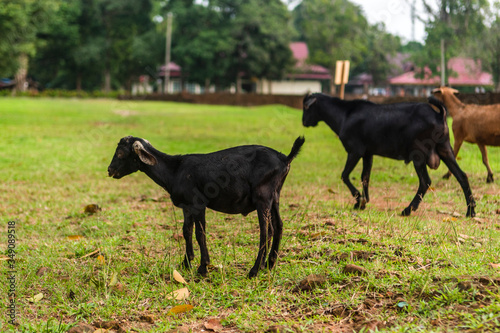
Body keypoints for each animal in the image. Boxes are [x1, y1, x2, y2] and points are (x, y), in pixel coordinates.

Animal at [108, 135, 304, 278]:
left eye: (120, 153)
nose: (110, 170)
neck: (174, 170)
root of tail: (284, 159)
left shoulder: (198, 203)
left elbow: (199, 233)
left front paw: (203, 267)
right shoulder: (186, 206)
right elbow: (186, 231)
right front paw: (186, 263)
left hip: (262, 196)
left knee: (265, 231)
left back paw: (254, 270)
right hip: (275, 196)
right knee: (278, 226)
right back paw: (269, 264)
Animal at [302, 92, 474, 217]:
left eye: (306, 107)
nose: (304, 122)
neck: (344, 115)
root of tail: (439, 115)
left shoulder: (355, 150)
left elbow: (344, 175)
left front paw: (358, 199)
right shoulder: (368, 153)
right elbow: (365, 177)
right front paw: (363, 201)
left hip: (418, 154)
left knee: (425, 181)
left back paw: (407, 210)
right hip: (445, 149)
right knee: (462, 176)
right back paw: (470, 211)